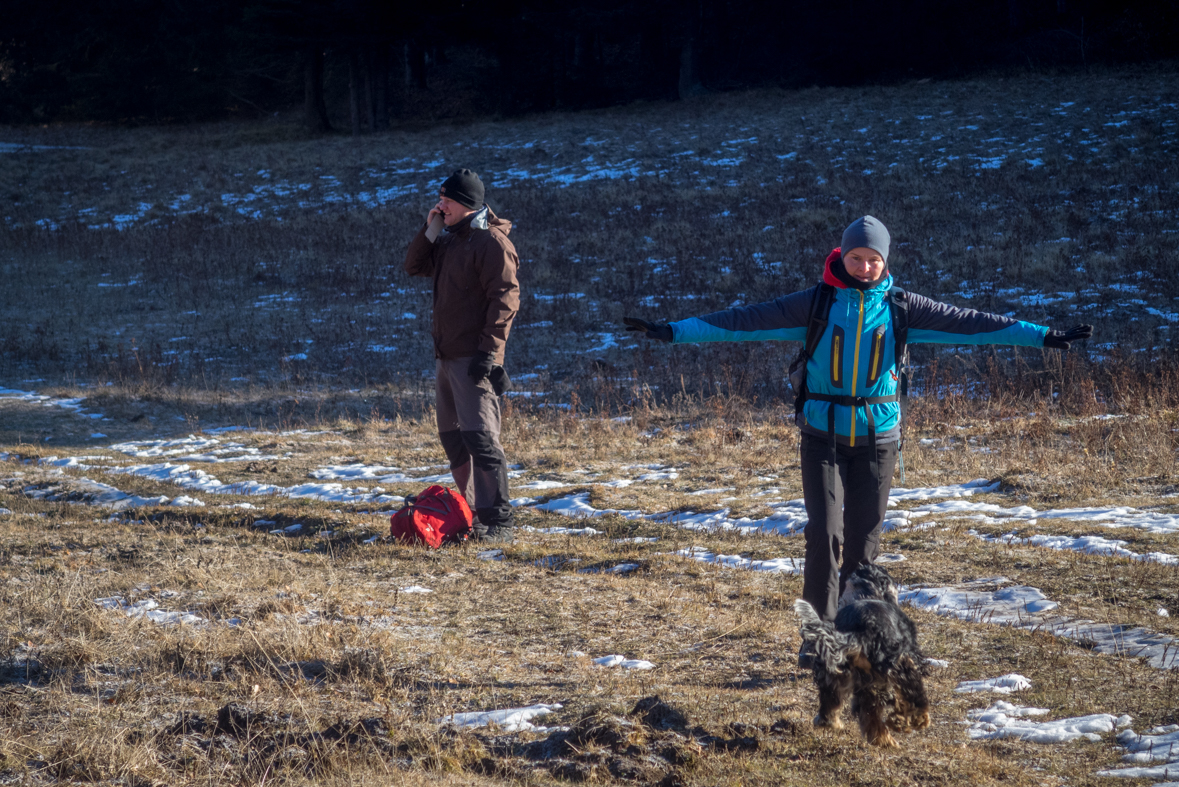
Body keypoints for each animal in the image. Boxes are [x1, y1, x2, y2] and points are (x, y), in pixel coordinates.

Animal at [792, 563, 929, 749]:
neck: (867, 592)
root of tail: (861, 632)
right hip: (895, 667)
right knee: (910, 698)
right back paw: (911, 722)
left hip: (838, 674)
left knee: (844, 707)